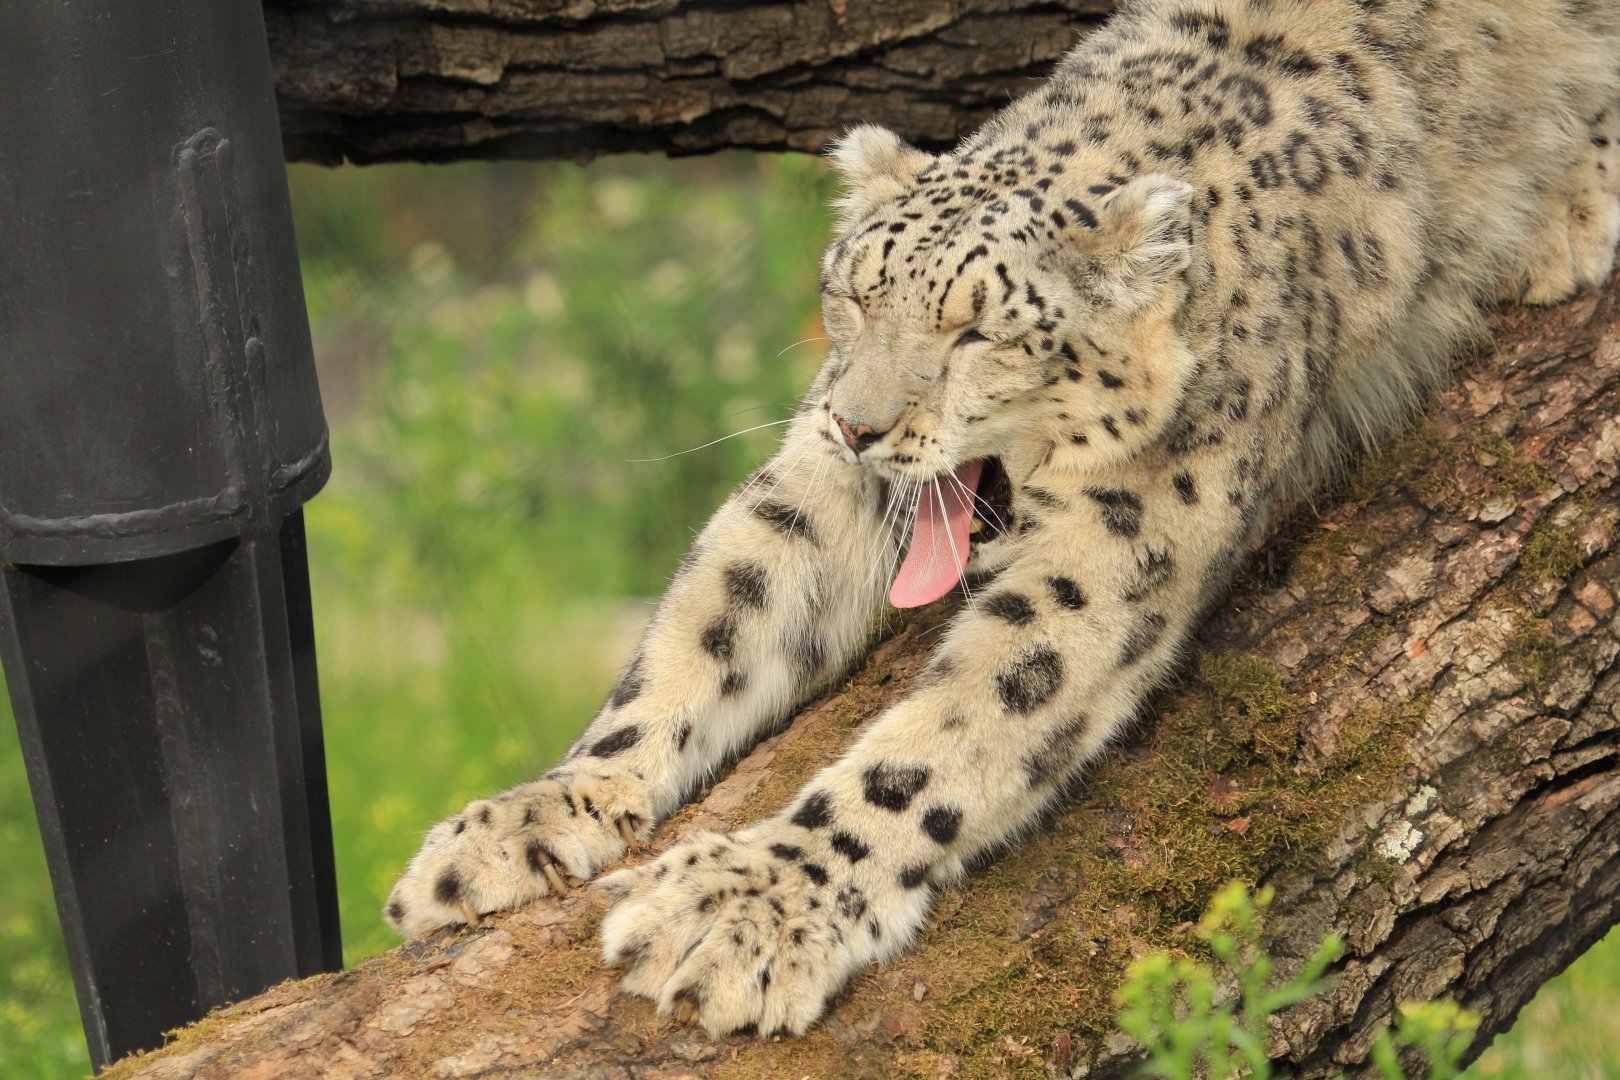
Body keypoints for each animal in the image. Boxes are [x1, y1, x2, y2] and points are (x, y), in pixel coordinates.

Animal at [383, 0, 1620, 1038]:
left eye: (978, 331)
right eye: (854, 293)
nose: (860, 425)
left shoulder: (1124, 533)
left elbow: (944, 742)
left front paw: (743, 909)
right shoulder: (816, 486)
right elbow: (714, 619)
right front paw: (529, 817)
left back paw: (1569, 214)